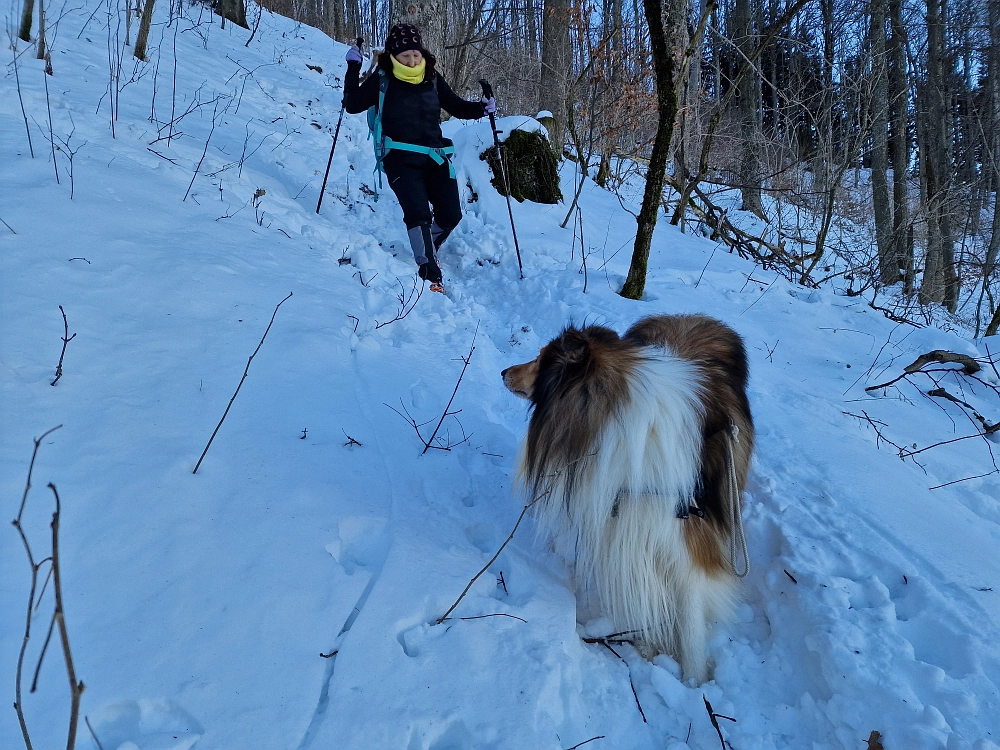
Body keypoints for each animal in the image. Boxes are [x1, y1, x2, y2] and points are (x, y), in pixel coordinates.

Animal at [504, 314, 752, 684]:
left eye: (540, 359)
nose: (504, 372)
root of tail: (693, 318)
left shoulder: (688, 539)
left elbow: (691, 622)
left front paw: (694, 682)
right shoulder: (623, 525)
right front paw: (649, 645)